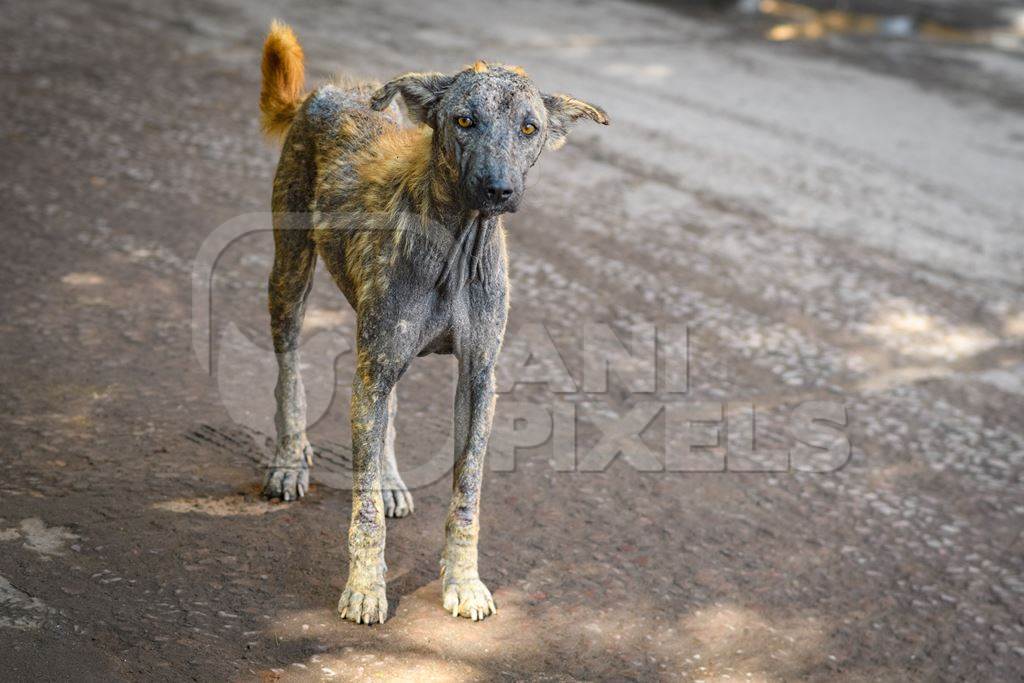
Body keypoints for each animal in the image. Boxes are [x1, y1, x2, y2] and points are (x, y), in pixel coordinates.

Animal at [258, 20, 606, 626]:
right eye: (464, 120)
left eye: (530, 128)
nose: (498, 189)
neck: (457, 243)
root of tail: (327, 91)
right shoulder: (373, 367)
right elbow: (364, 509)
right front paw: (365, 588)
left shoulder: (477, 380)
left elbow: (466, 496)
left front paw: (463, 583)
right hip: (291, 278)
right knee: (290, 371)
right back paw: (288, 460)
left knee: (387, 413)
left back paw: (392, 480)